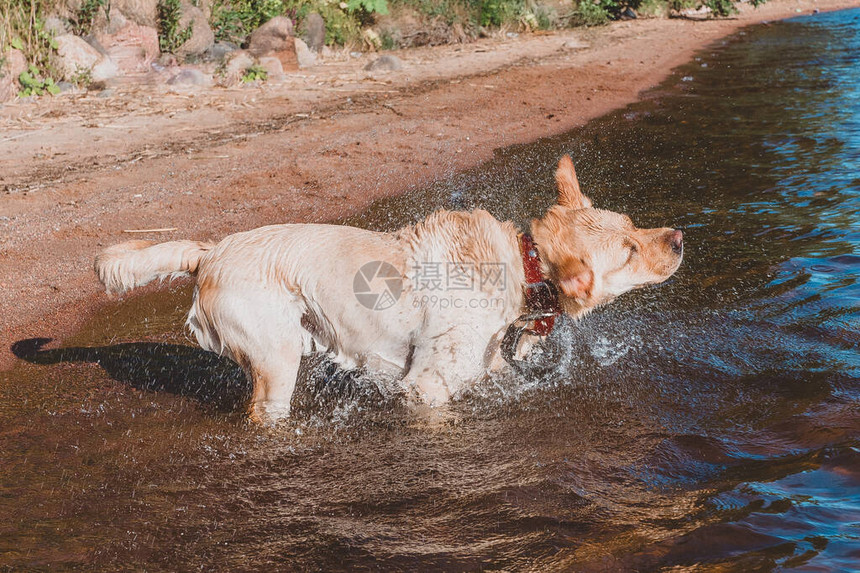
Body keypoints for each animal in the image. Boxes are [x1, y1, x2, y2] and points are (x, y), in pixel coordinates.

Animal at [95, 154, 684, 422]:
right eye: (629, 252)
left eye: (633, 227)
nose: (679, 237)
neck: (523, 267)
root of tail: (209, 251)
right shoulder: (426, 388)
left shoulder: (482, 362)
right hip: (277, 362)